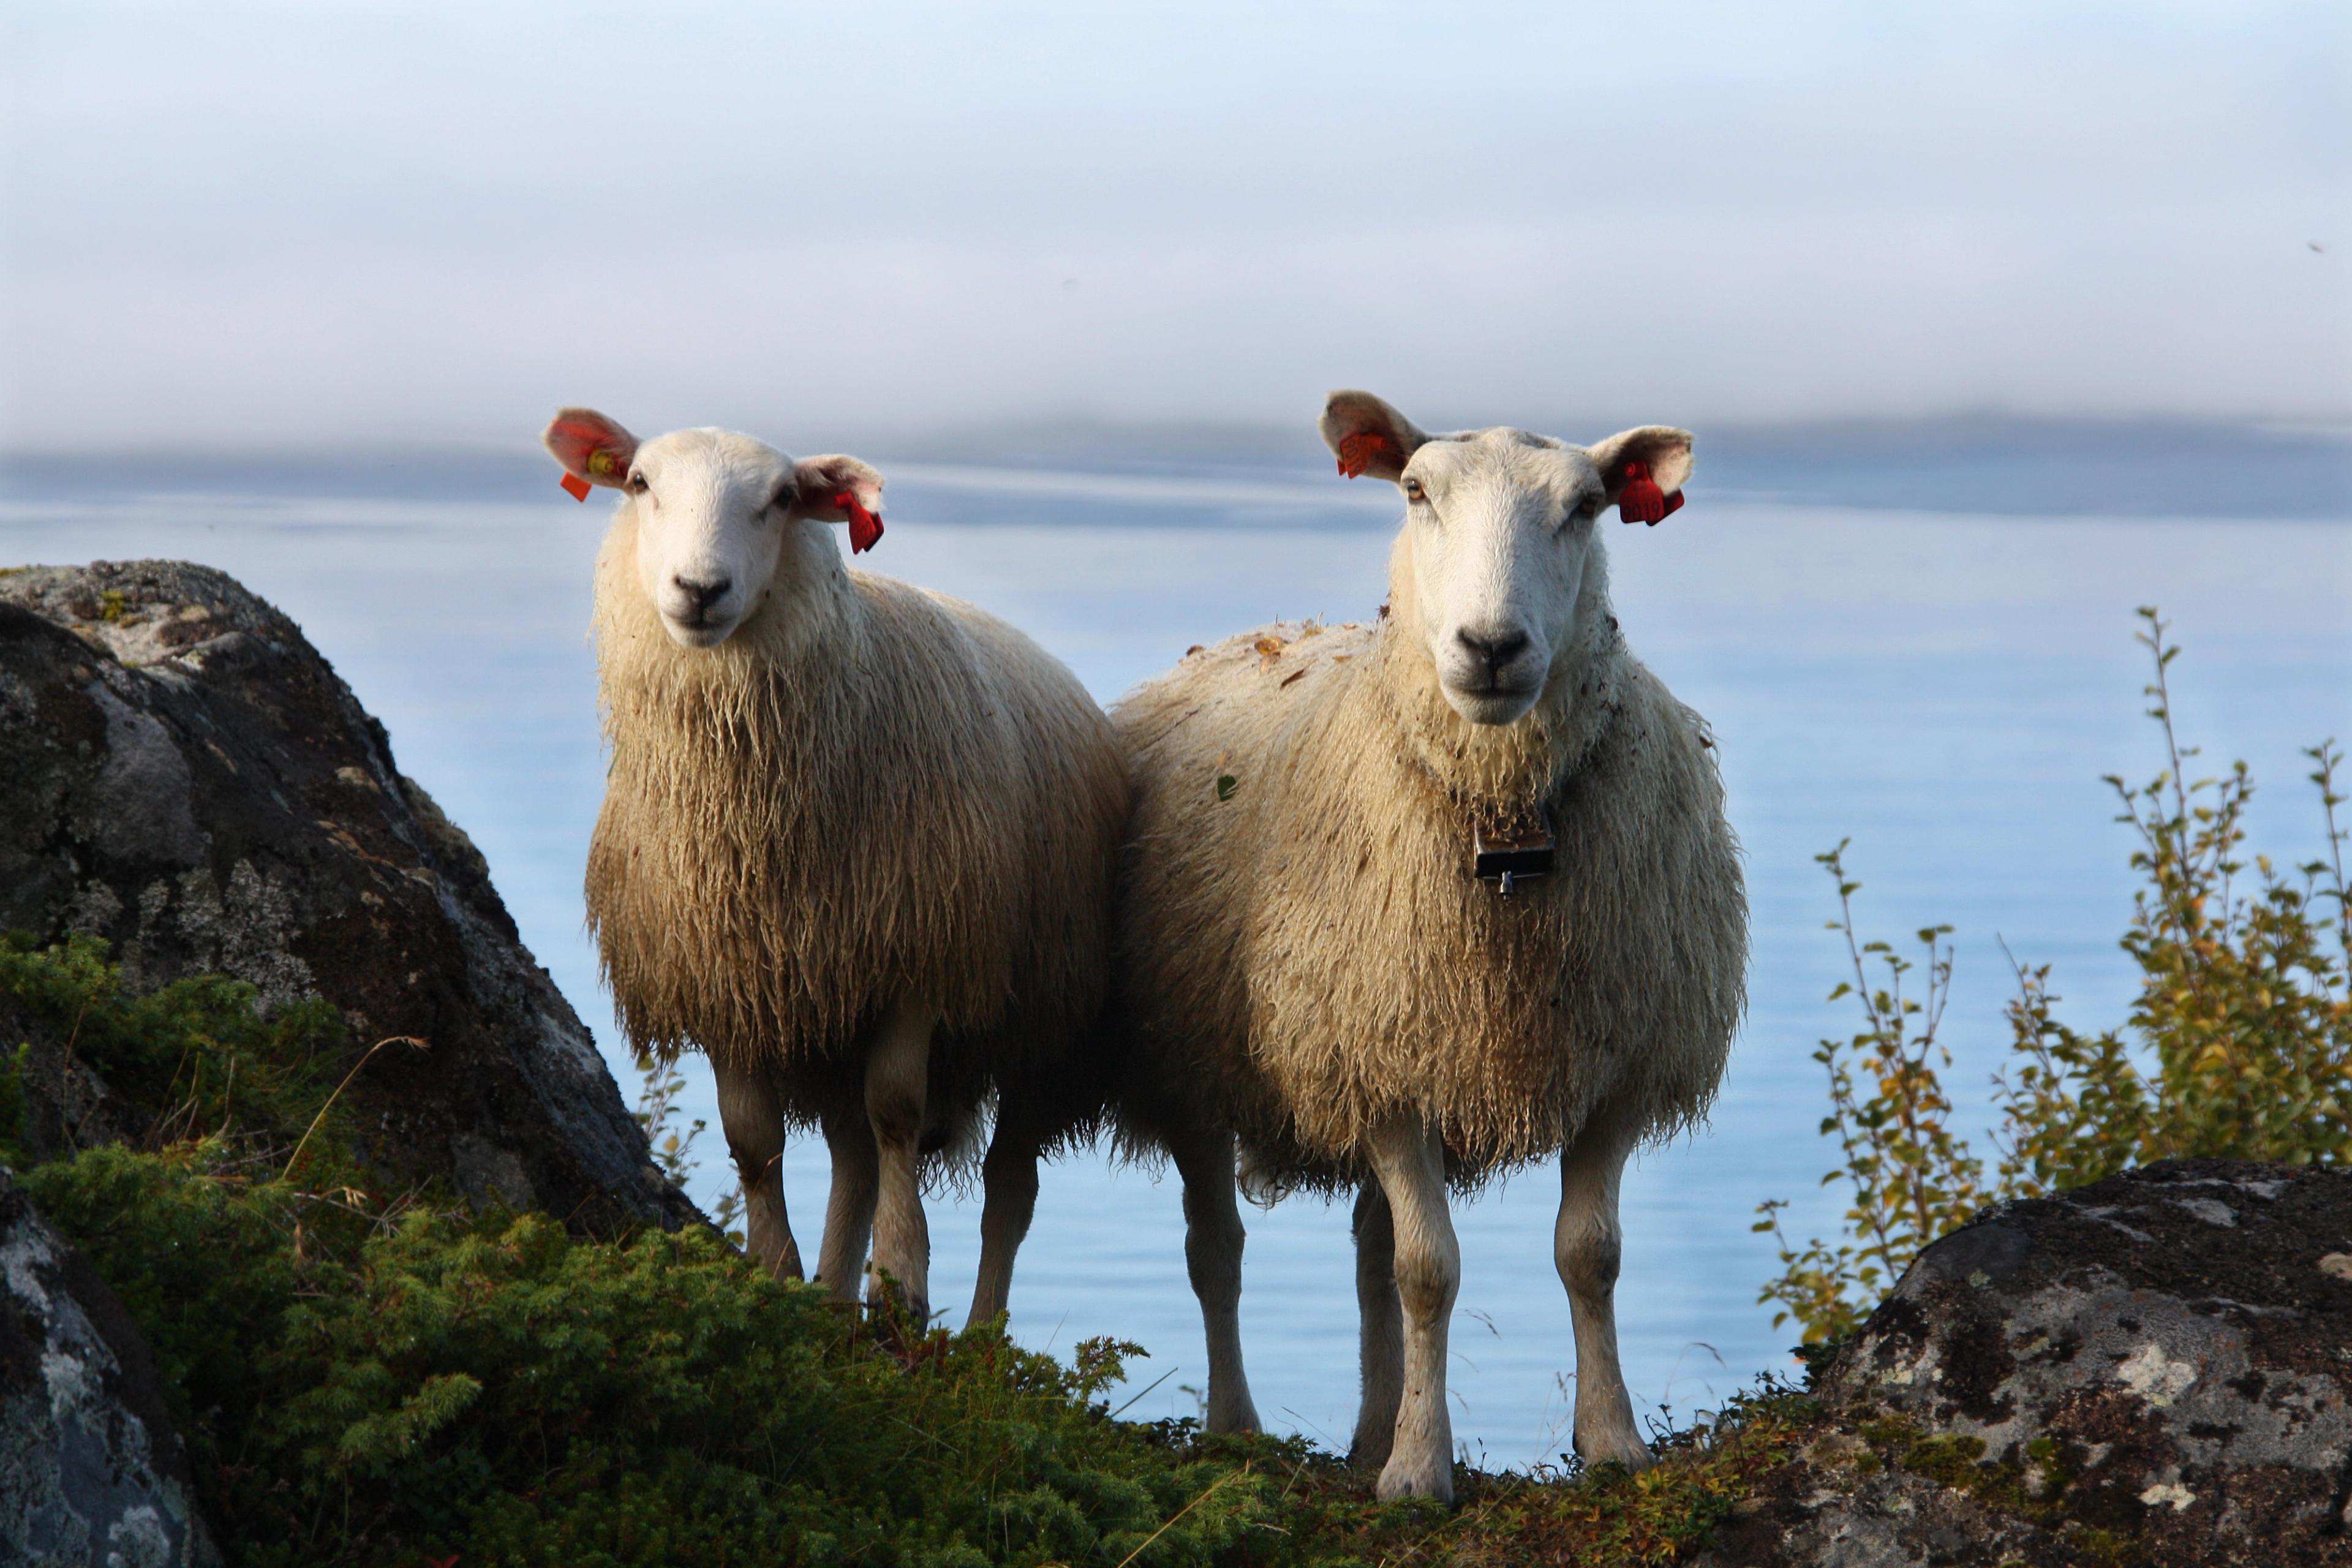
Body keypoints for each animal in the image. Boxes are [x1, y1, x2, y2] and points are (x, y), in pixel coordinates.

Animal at [543, 408, 1127, 1331]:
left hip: (1042, 1011)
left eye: (783, 499)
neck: (754, 826)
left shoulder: (921, 952)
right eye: (639, 484)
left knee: (1006, 1184)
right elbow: (751, 1139)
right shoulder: (726, 976)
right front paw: (777, 1275)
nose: (699, 589)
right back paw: (830, 1288)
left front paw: (902, 1284)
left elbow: (898, 1112)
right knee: (852, 1159)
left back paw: (980, 1332)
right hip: (830, 1010)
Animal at [1111, 390, 1746, 1501]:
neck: (1505, 828)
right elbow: (1429, 1271)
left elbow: (1589, 1254)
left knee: (1370, 1250)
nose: (1490, 646)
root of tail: (1254, 634)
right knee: (1218, 1250)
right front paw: (1417, 1475)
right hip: (1200, 1062)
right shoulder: (1377, 1068)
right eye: (1415, 492)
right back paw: (1238, 1427)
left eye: (1586, 506)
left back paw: (1372, 1426)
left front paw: (1610, 1442)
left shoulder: (1617, 1062)